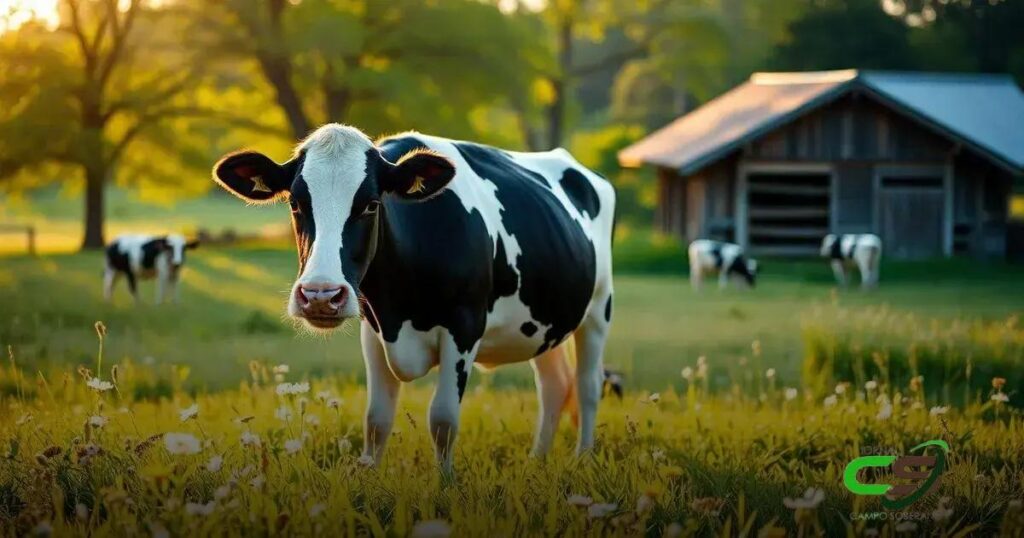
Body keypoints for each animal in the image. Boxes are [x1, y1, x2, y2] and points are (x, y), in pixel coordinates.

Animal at [211, 124, 615, 471]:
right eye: (295, 203)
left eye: (371, 203)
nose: (321, 295)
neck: (399, 307)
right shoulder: (374, 328)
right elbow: (376, 420)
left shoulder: (464, 325)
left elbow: (443, 420)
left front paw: (445, 488)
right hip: (544, 322)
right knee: (554, 385)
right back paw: (536, 462)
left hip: (598, 309)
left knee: (588, 386)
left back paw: (583, 458)